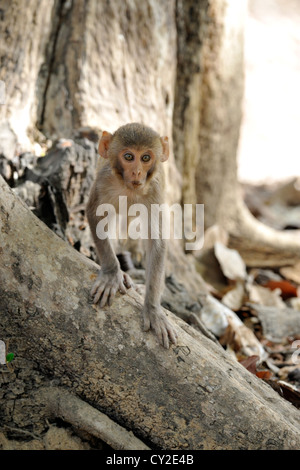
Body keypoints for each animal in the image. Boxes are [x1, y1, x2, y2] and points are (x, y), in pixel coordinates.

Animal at [85, 122, 177, 348]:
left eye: (145, 158)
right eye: (128, 157)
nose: (136, 172)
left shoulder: (155, 190)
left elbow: (156, 242)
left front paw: (152, 309)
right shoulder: (103, 181)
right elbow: (96, 217)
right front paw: (111, 273)